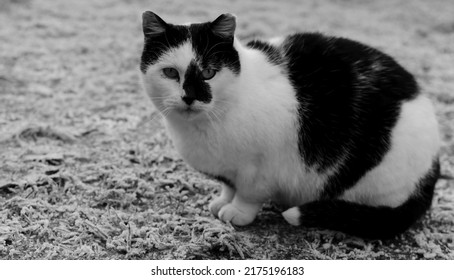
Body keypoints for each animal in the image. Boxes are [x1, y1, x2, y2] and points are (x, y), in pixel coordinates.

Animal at [139, 10, 440, 238]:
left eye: (209, 72)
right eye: (170, 73)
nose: (189, 97)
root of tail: (435, 163)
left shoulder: (261, 167)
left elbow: (248, 193)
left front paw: (238, 212)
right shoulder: (228, 171)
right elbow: (230, 186)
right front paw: (223, 201)